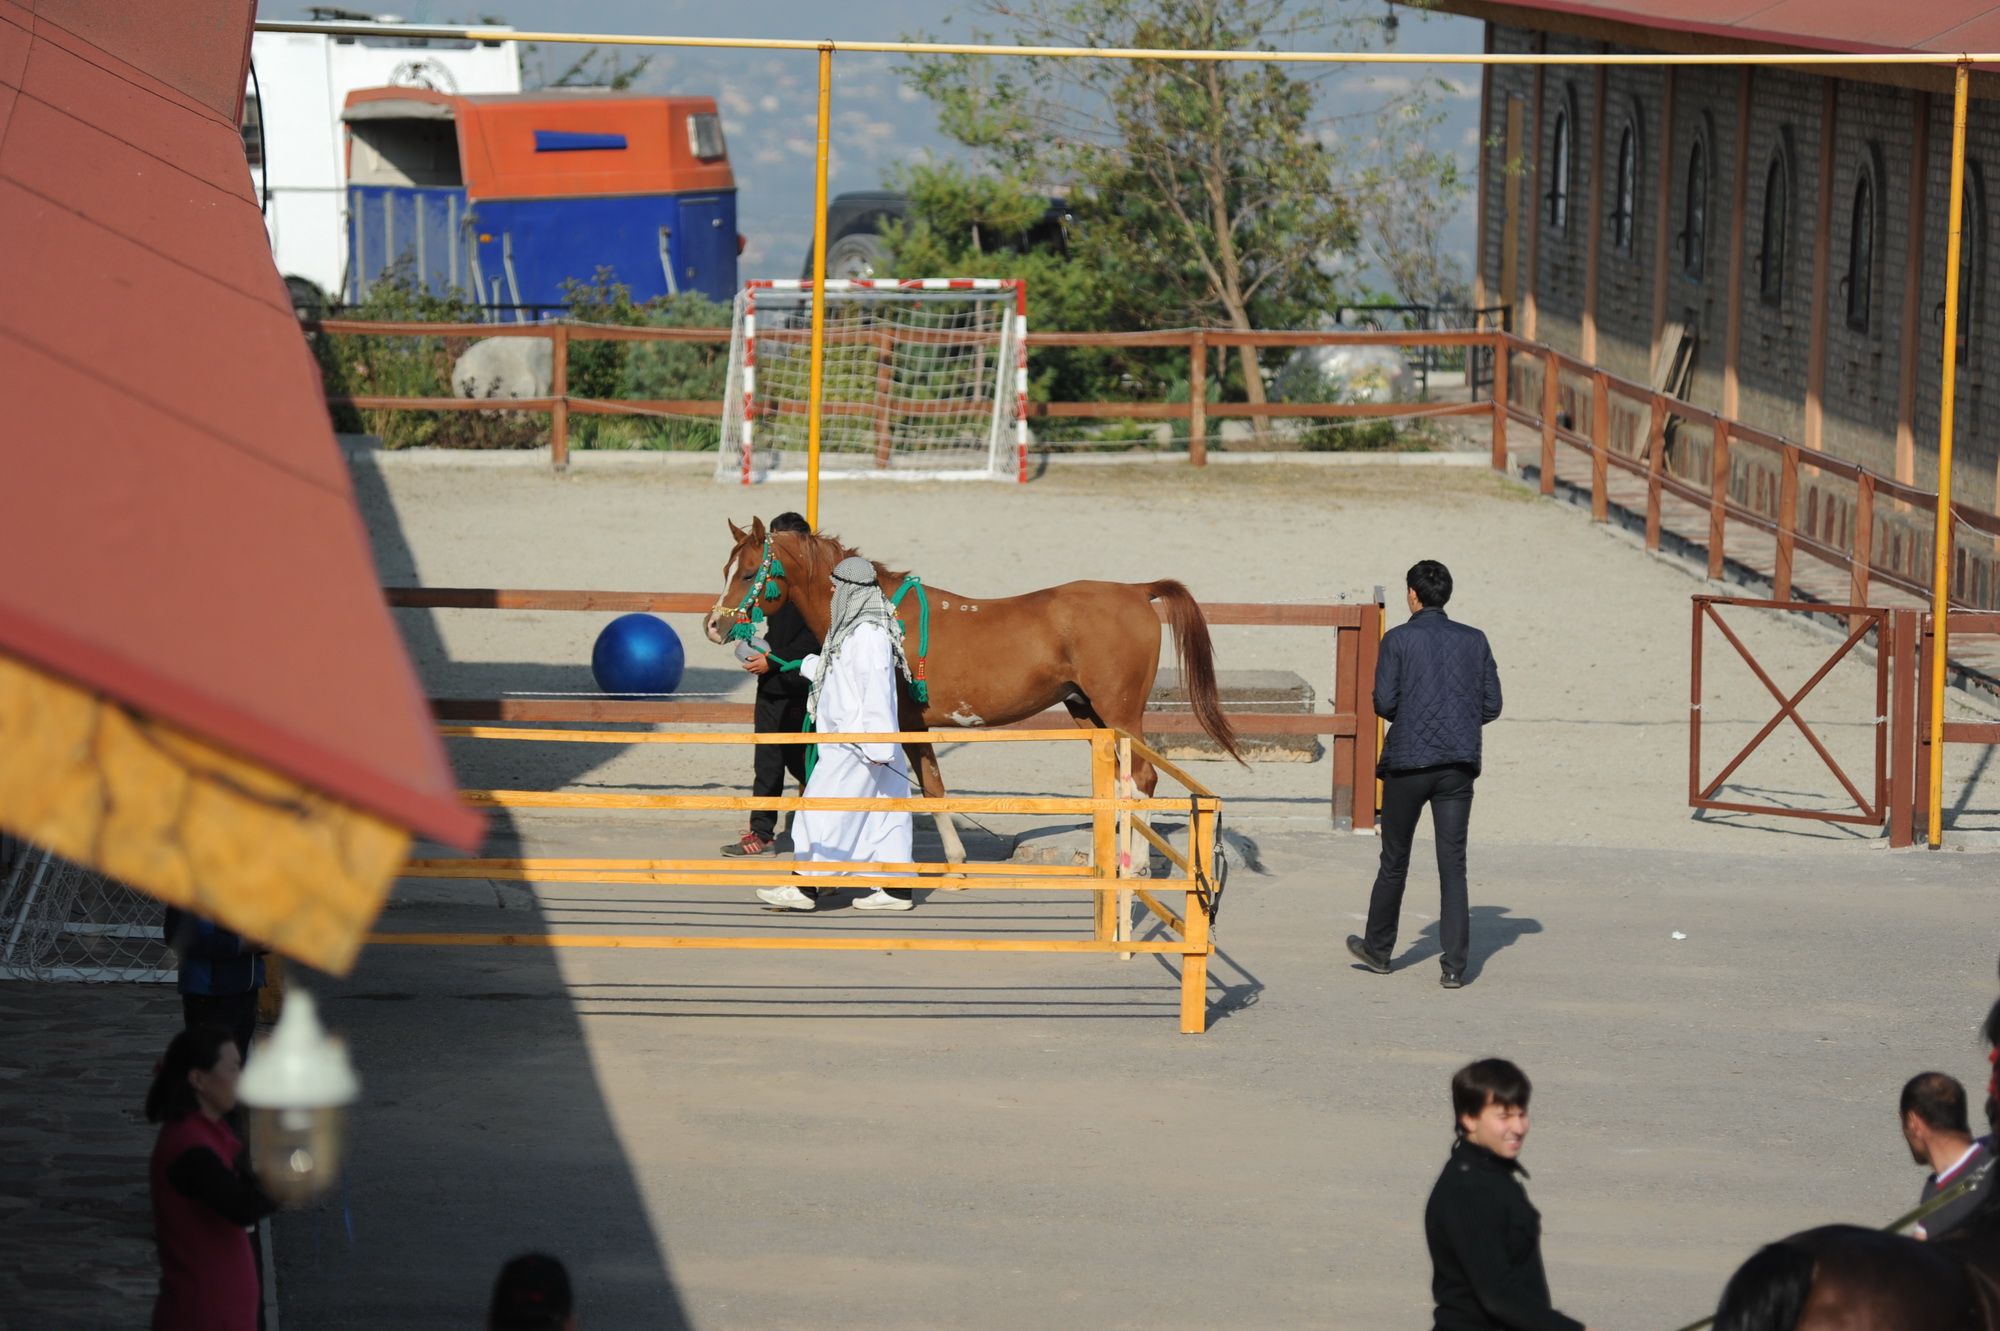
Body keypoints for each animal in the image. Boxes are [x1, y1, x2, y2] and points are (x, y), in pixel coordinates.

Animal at [700, 511, 1232, 855]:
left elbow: (930, 787)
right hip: (1090, 713)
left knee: (1143, 780)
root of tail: (1138, 592)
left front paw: (951, 861)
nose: (714, 625)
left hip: (1121, 713)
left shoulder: (906, 723)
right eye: (725, 569)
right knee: (1123, 783)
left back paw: (1136, 867)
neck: (876, 611)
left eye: (749, 572)